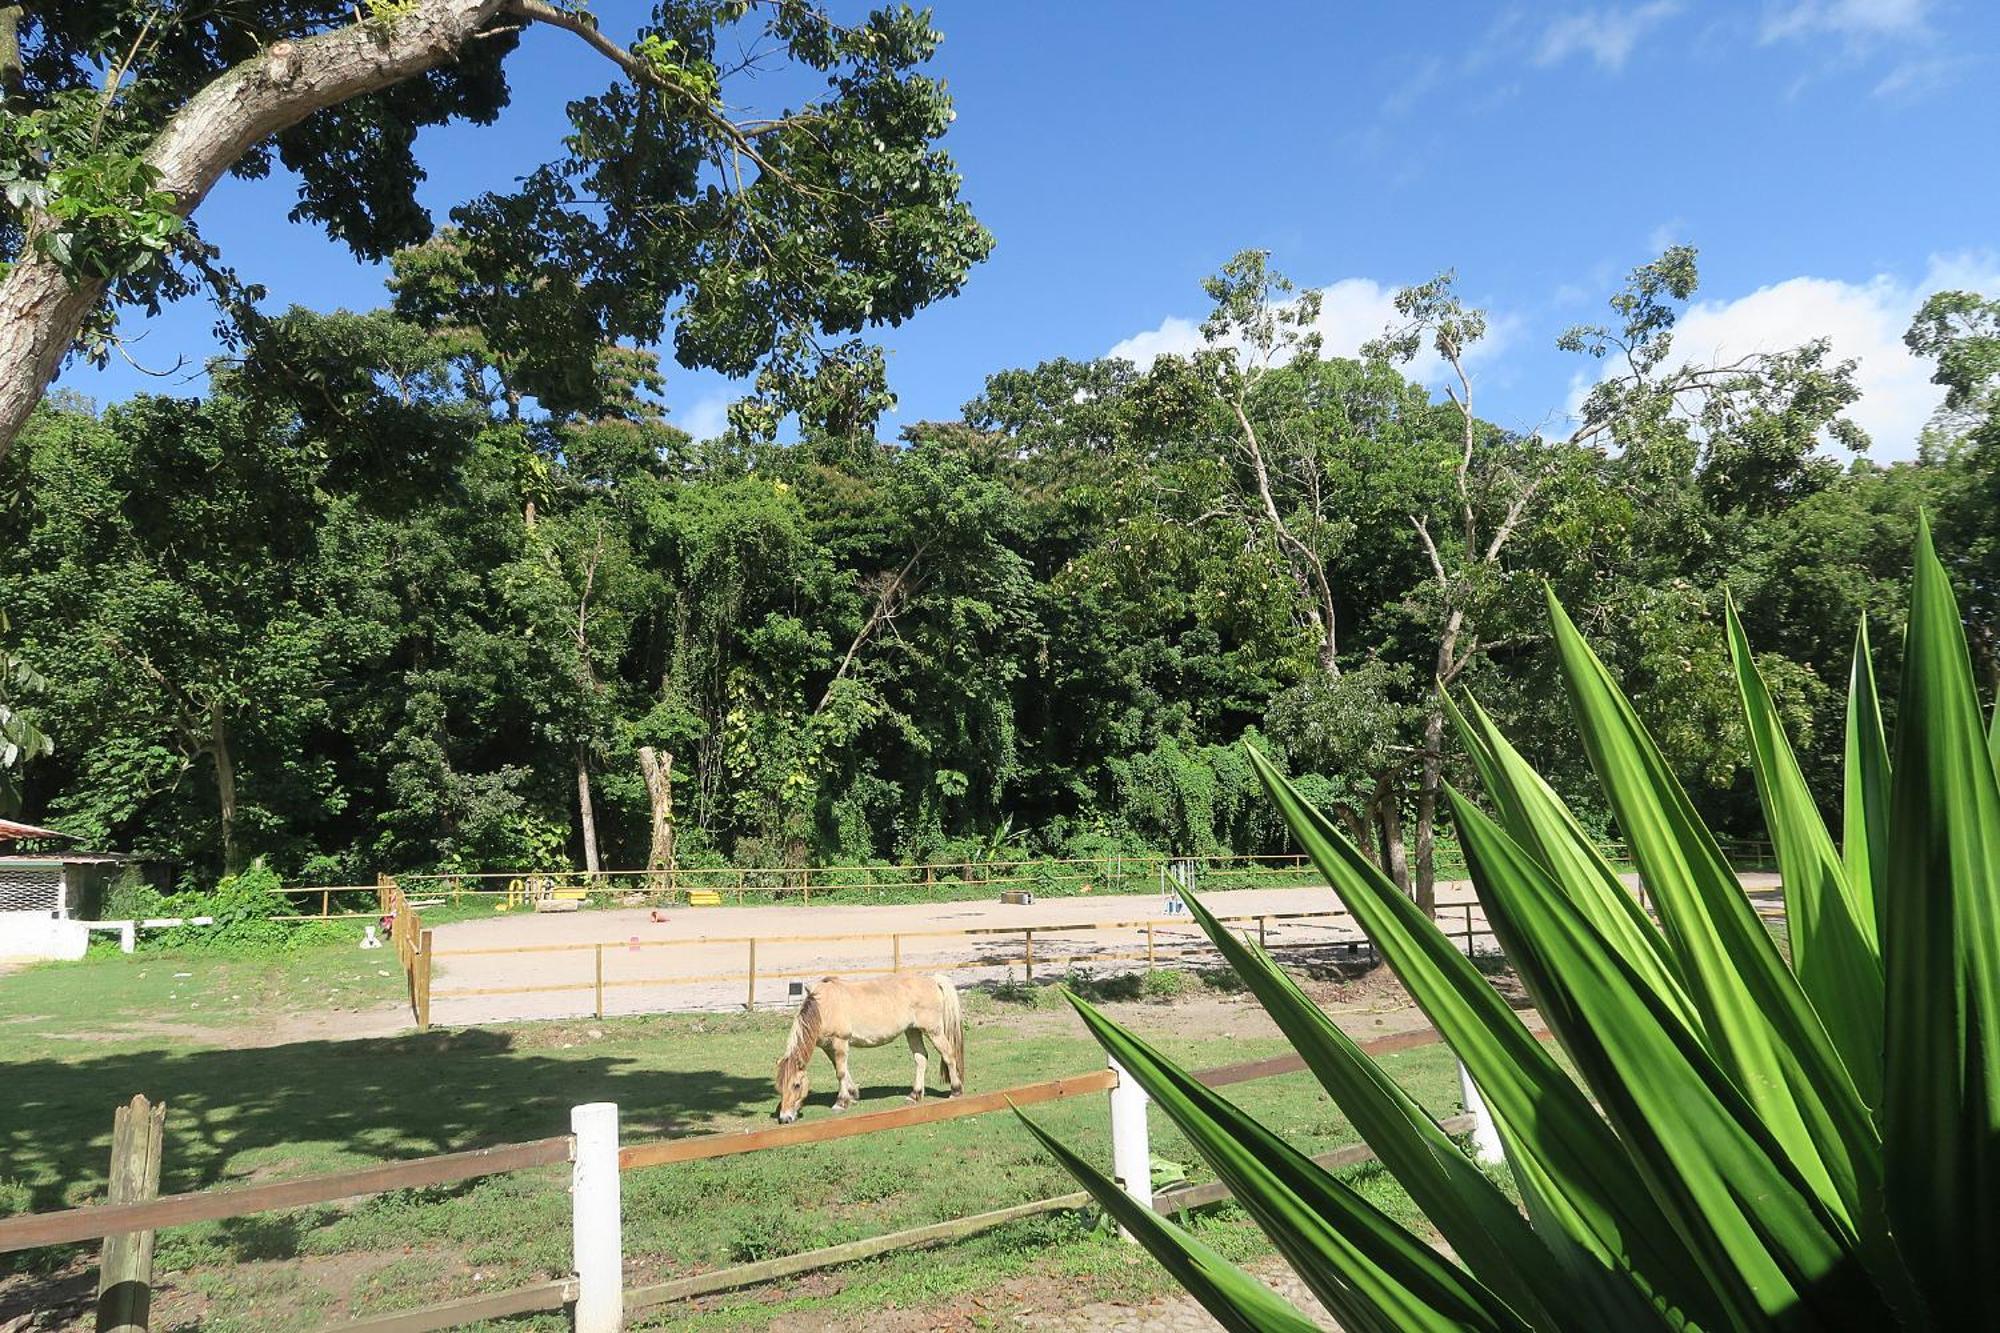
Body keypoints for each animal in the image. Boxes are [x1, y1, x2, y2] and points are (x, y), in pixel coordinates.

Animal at [776, 972, 964, 1112]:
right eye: (779, 1088)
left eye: (796, 1085)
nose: (785, 1118)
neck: (823, 1008)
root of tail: (932, 980)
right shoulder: (828, 1047)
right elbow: (841, 1069)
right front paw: (852, 1094)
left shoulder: (840, 1042)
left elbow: (840, 1073)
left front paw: (841, 1102)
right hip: (913, 1031)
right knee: (921, 1058)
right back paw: (915, 1095)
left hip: (934, 1031)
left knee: (948, 1055)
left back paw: (955, 1091)